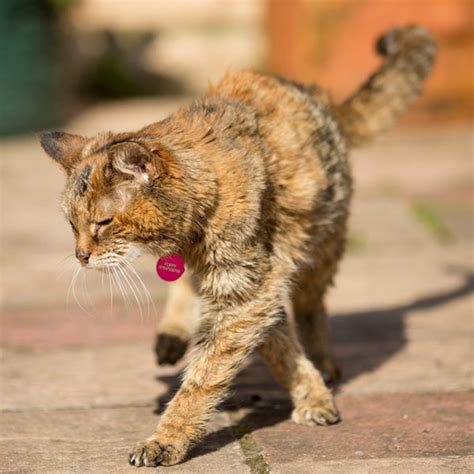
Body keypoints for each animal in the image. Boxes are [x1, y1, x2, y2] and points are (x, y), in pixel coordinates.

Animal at [40, 25, 436, 466]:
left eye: (103, 223)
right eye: (71, 224)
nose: (81, 256)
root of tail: (318, 95)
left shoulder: (251, 289)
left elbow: (207, 374)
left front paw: (168, 437)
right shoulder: (249, 288)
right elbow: (273, 347)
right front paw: (310, 391)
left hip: (321, 247)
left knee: (312, 306)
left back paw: (323, 360)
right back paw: (173, 334)